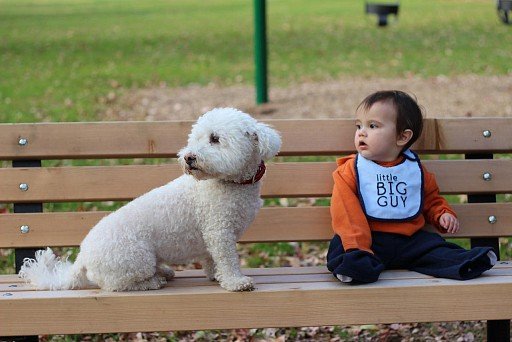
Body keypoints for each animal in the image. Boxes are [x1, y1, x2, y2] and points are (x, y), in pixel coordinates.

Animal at [20, 108, 282, 292]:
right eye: (196, 138)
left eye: (215, 139)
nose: (188, 157)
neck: (229, 183)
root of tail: (82, 257)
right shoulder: (219, 231)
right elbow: (227, 259)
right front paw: (236, 281)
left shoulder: (212, 235)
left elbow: (211, 258)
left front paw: (214, 275)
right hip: (136, 259)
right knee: (115, 285)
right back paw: (153, 281)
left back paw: (163, 271)